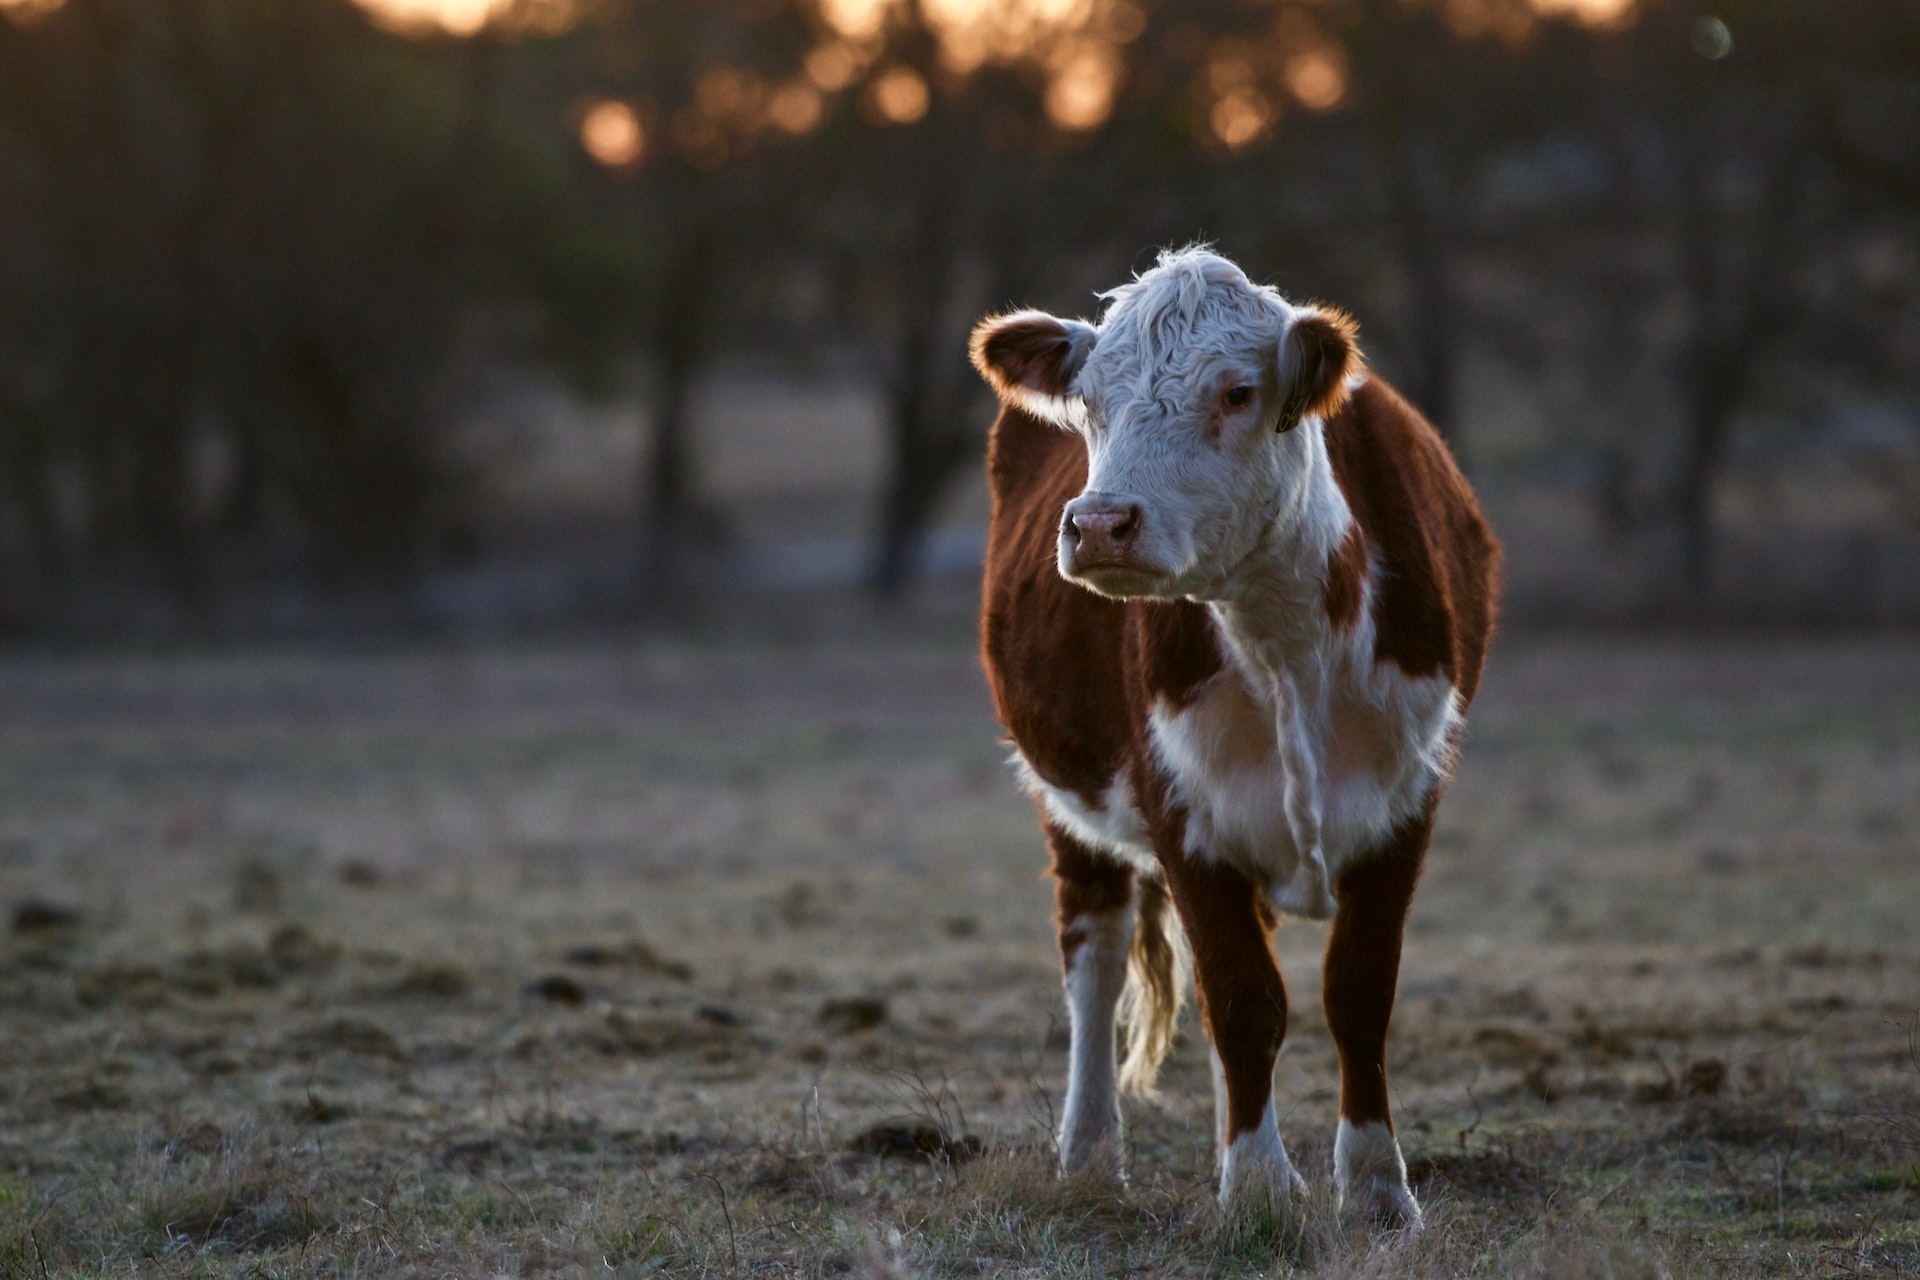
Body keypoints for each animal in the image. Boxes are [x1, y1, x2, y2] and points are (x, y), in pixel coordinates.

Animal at [975, 245, 1497, 1228]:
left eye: (1237, 392)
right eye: (1090, 398)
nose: (1099, 524)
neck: (1285, 638)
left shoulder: (1410, 800)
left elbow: (1356, 993)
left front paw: (1377, 1190)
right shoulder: (1181, 809)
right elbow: (1244, 998)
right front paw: (1257, 1187)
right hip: (1068, 798)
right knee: (1096, 957)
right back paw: (1090, 1157)